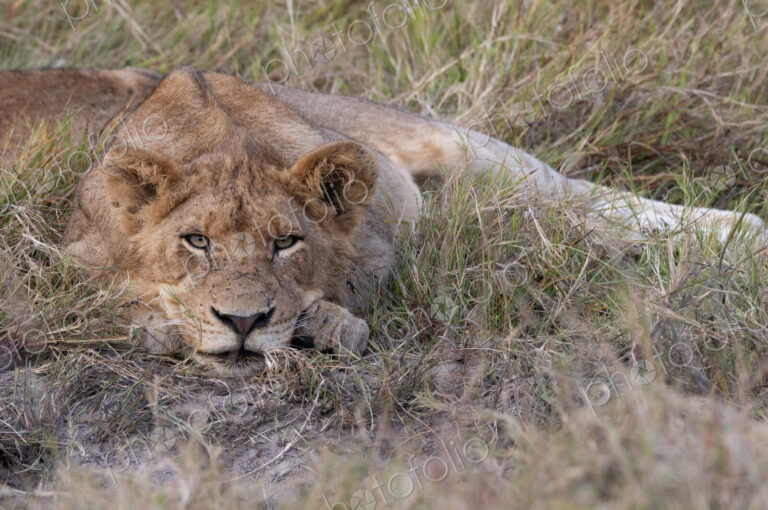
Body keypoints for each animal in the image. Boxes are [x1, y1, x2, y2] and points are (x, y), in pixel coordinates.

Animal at [1, 67, 764, 375]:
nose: (243, 323)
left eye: (287, 243)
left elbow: (358, 293)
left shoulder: (375, 242)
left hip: (455, 147)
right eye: (195, 241)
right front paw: (157, 324)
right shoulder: (68, 253)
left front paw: (325, 324)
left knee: (579, 196)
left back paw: (742, 234)